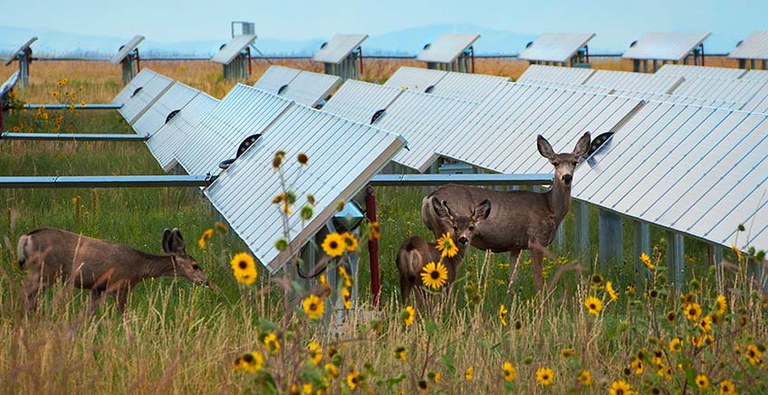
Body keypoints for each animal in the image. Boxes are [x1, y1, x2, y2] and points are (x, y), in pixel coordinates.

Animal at [17, 227, 210, 314]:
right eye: (195, 265)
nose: (206, 281)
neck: (139, 268)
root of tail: (26, 237)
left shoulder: (98, 288)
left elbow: (89, 312)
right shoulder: (121, 285)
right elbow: (122, 313)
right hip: (45, 271)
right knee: (27, 293)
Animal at [424, 133, 592, 290]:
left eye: (574, 162)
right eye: (555, 163)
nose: (567, 177)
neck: (550, 207)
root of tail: (429, 197)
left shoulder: (515, 245)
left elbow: (512, 281)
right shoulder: (536, 240)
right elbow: (539, 282)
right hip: (454, 233)